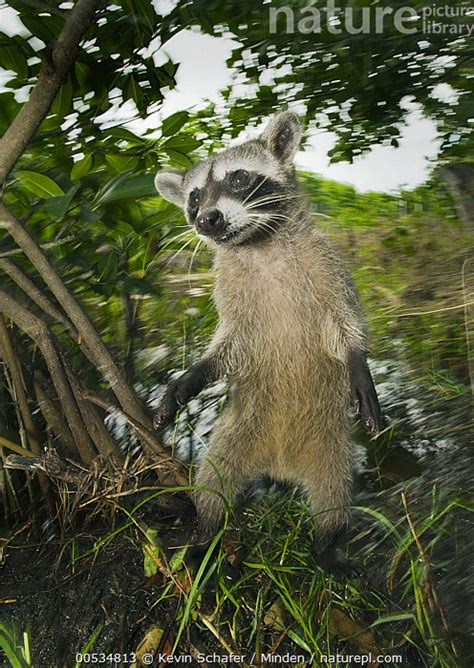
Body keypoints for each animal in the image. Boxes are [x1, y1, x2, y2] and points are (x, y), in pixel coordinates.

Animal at [156, 112, 382, 560]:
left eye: (239, 178)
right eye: (194, 198)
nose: (207, 219)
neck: (260, 246)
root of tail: (281, 464)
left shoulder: (328, 267)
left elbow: (345, 324)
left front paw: (357, 361)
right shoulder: (230, 291)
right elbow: (228, 344)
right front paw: (192, 376)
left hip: (330, 448)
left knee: (333, 497)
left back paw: (326, 545)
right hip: (235, 434)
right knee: (213, 483)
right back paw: (206, 533)